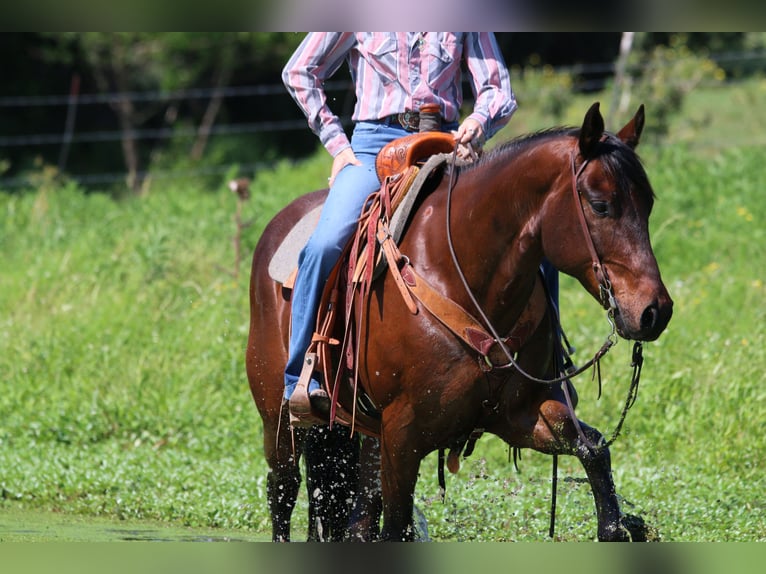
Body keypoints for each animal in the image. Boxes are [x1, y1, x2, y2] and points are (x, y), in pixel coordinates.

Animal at [246, 104, 672, 544]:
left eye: (648, 204)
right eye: (601, 205)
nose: (654, 310)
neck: (459, 276)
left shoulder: (519, 414)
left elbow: (594, 447)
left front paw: (616, 526)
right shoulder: (402, 436)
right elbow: (396, 525)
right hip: (278, 415)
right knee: (283, 487)